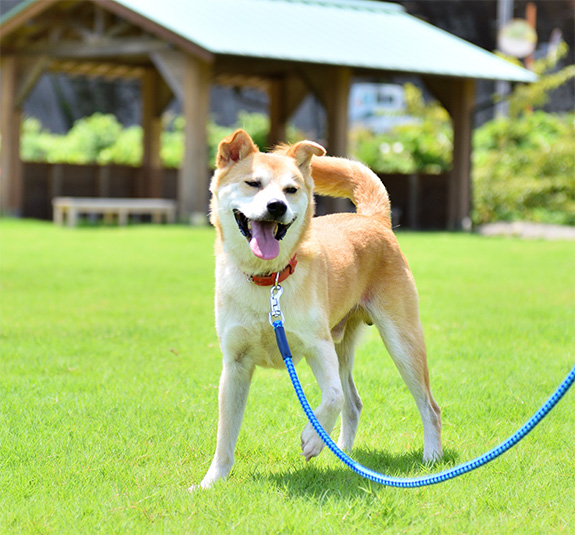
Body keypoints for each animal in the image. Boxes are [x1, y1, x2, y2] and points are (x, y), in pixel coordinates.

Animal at [191, 129, 444, 490]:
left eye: (291, 189)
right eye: (252, 183)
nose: (277, 206)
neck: (268, 281)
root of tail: (372, 219)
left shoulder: (316, 346)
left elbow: (332, 397)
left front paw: (311, 439)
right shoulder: (235, 363)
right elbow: (225, 434)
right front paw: (211, 482)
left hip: (401, 341)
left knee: (427, 406)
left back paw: (431, 457)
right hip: (342, 346)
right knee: (354, 403)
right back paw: (343, 455)